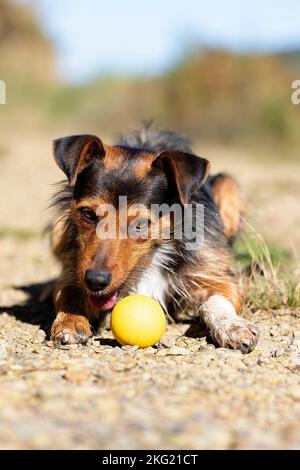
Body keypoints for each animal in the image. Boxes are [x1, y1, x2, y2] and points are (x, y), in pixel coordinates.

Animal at [49, 126, 258, 350]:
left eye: (140, 224)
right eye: (88, 214)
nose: (96, 281)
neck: (152, 257)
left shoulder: (212, 276)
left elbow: (217, 300)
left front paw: (233, 326)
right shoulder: (76, 270)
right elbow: (68, 293)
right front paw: (70, 322)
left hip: (228, 186)